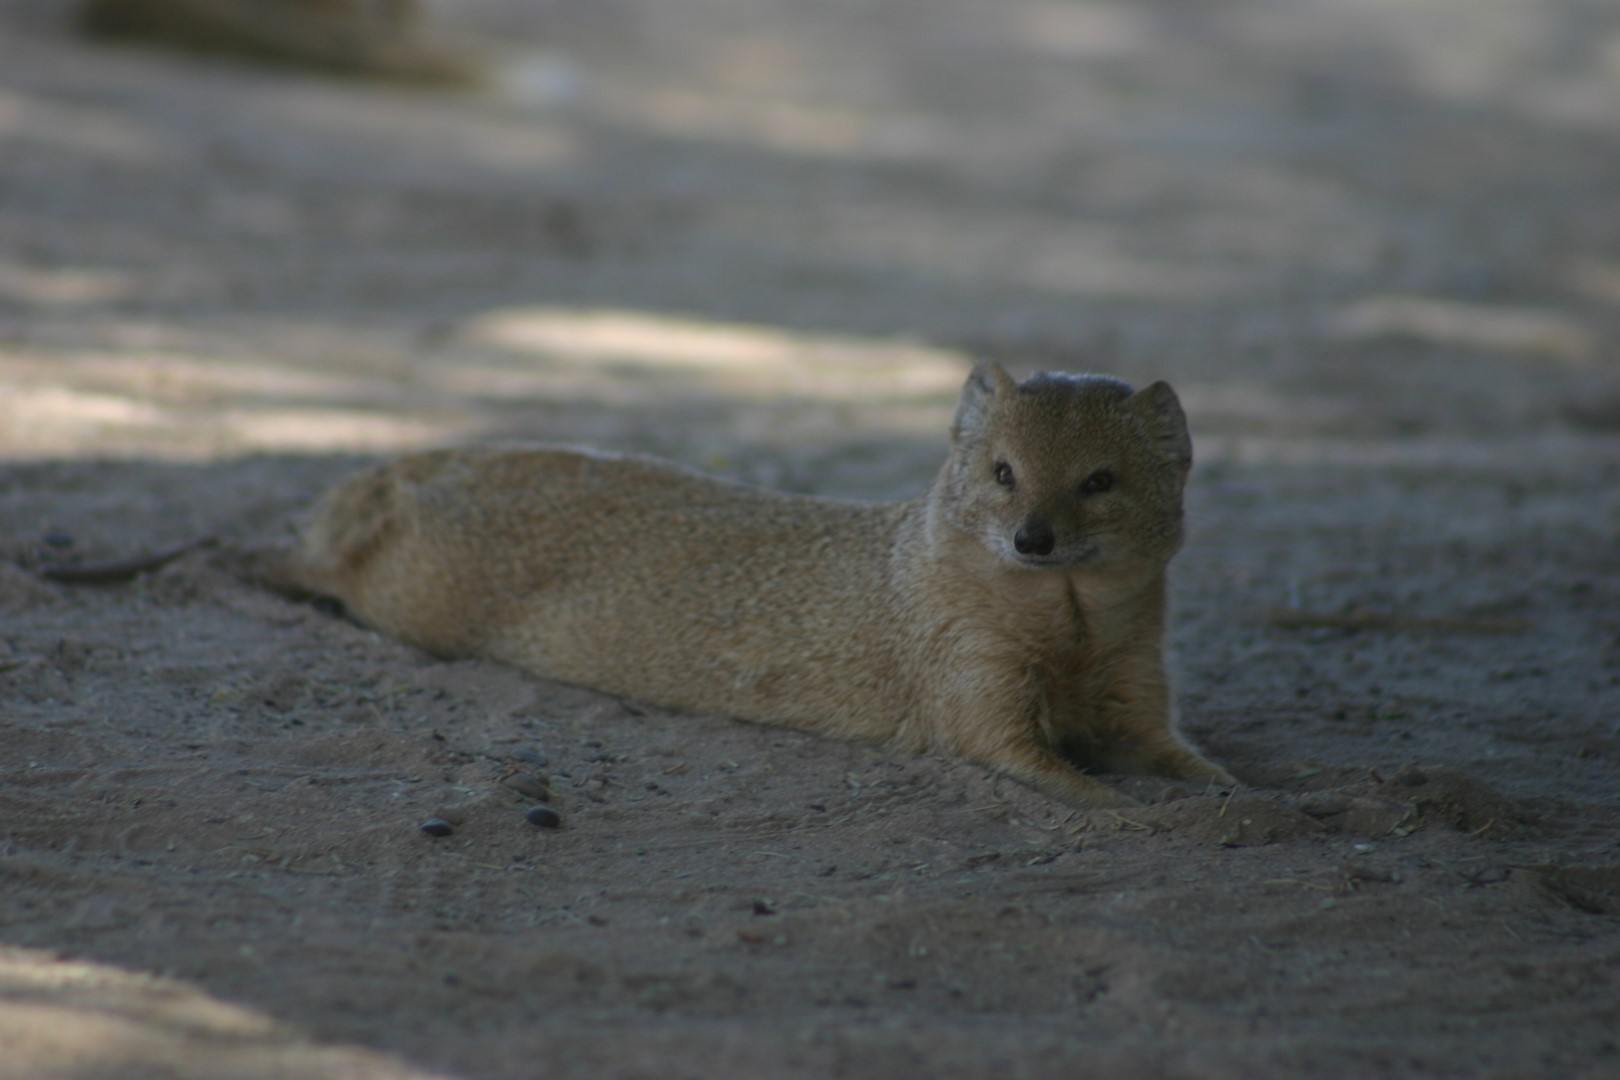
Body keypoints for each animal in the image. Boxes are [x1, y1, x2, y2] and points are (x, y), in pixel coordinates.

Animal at [268, 363, 1235, 807]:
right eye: (1003, 471)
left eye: (1099, 481)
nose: (1034, 537)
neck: (1071, 634)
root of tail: (413, 465)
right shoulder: (962, 670)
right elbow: (1019, 755)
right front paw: (1128, 804)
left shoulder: (1137, 669)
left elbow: (1182, 755)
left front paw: (1230, 789)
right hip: (413, 590)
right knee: (337, 570)